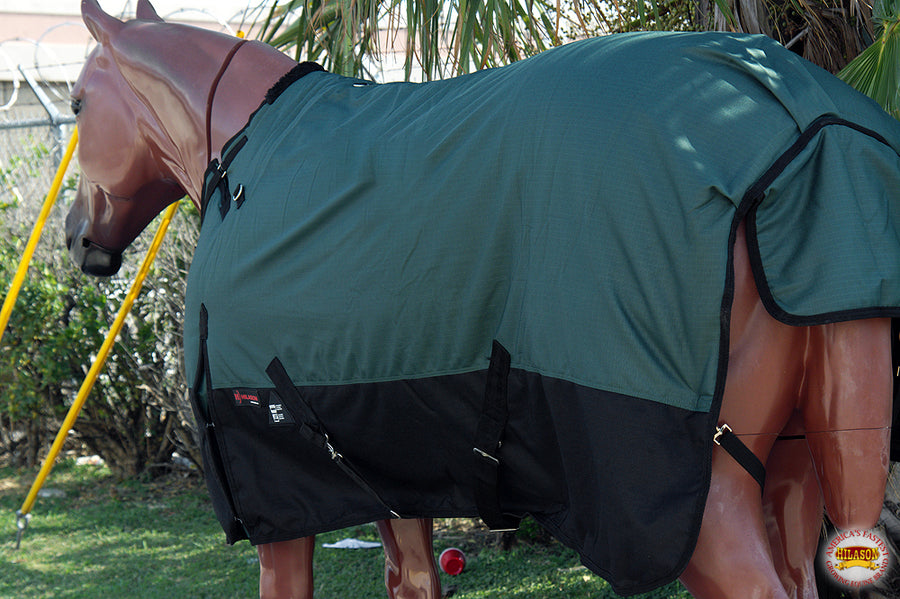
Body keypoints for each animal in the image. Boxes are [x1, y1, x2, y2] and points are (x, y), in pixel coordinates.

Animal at [66, 2, 900, 598]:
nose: (77, 236)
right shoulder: (393, 475)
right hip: (793, 468)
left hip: (709, 507)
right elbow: (413, 579)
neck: (243, 158)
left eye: (75, 105)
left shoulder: (274, 494)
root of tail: (803, 122)